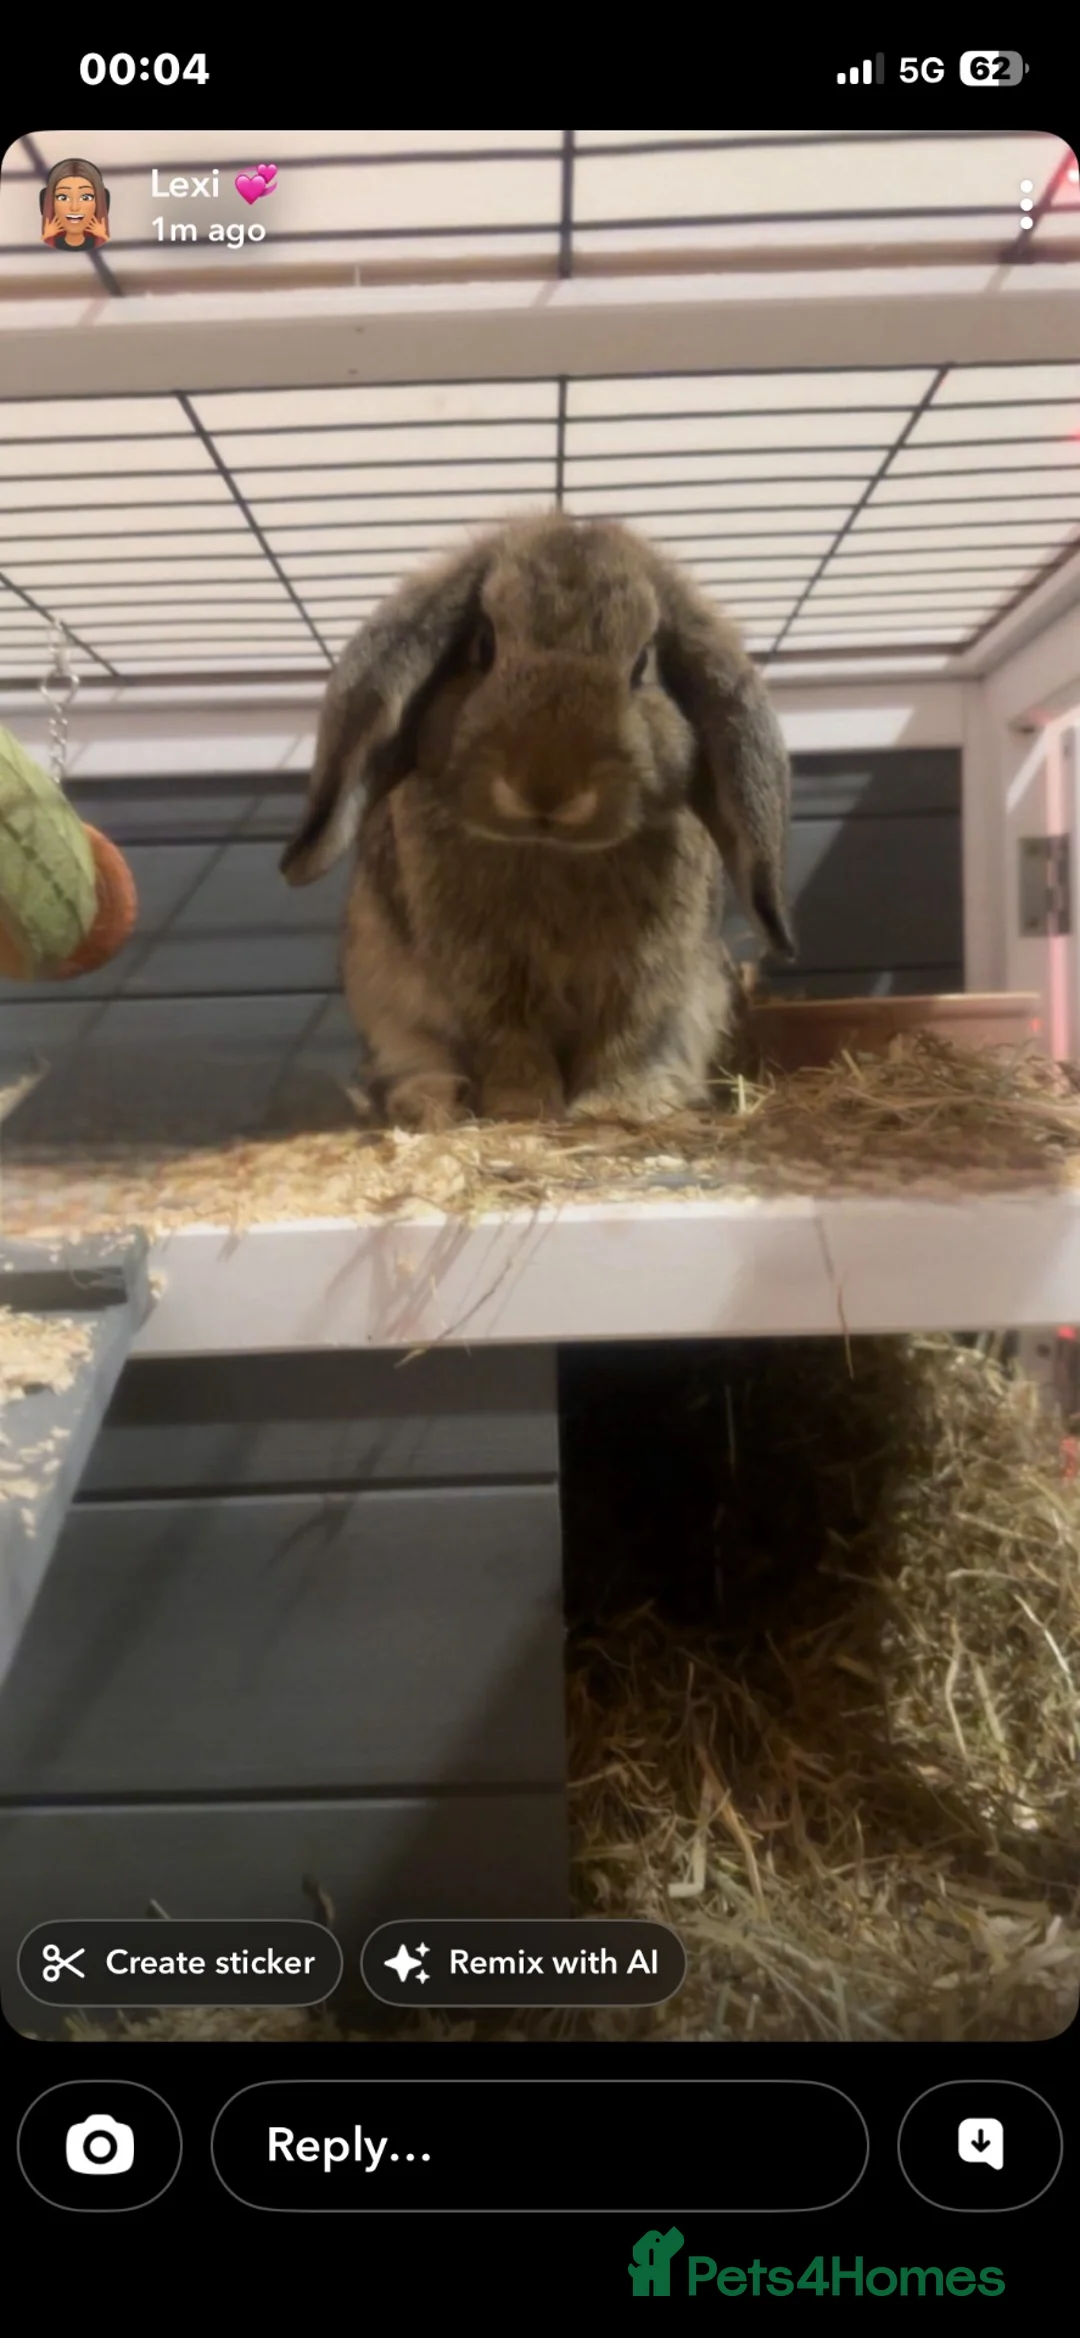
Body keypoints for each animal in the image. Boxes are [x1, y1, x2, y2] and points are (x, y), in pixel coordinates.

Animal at [280, 511, 795, 1130]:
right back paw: (435, 1103)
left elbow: (627, 1033)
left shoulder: (642, 974)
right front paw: (522, 1111)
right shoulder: (487, 977)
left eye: (642, 664)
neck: (551, 850)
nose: (547, 787)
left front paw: (618, 1107)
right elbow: (509, 1040)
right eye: (484, 646)